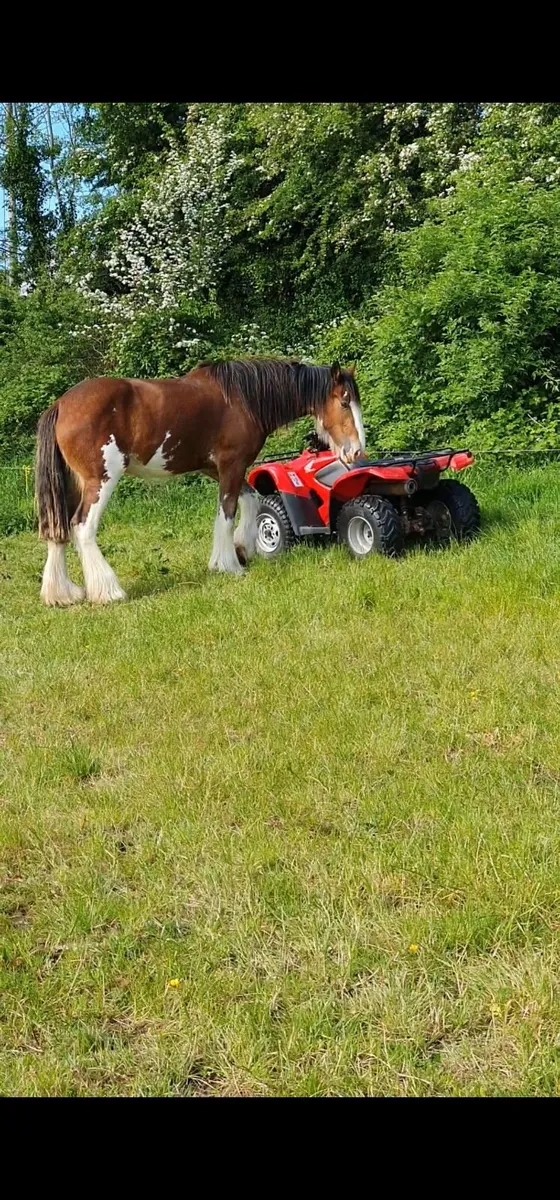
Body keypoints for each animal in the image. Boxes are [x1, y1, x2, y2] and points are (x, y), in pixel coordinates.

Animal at [34, 357, 365, 606]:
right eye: (345, 402)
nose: (356, 450)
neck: (242, 399)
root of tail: (61, 405)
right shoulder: (232, 465)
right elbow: (227, 514)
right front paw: (228, 565)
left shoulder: (215, 468)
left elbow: (249, 501)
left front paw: (241, 550)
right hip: (100, 481)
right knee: (82, 527)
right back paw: (108, 591)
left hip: (71, 483)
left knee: (58, 530)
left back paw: (62, 594)